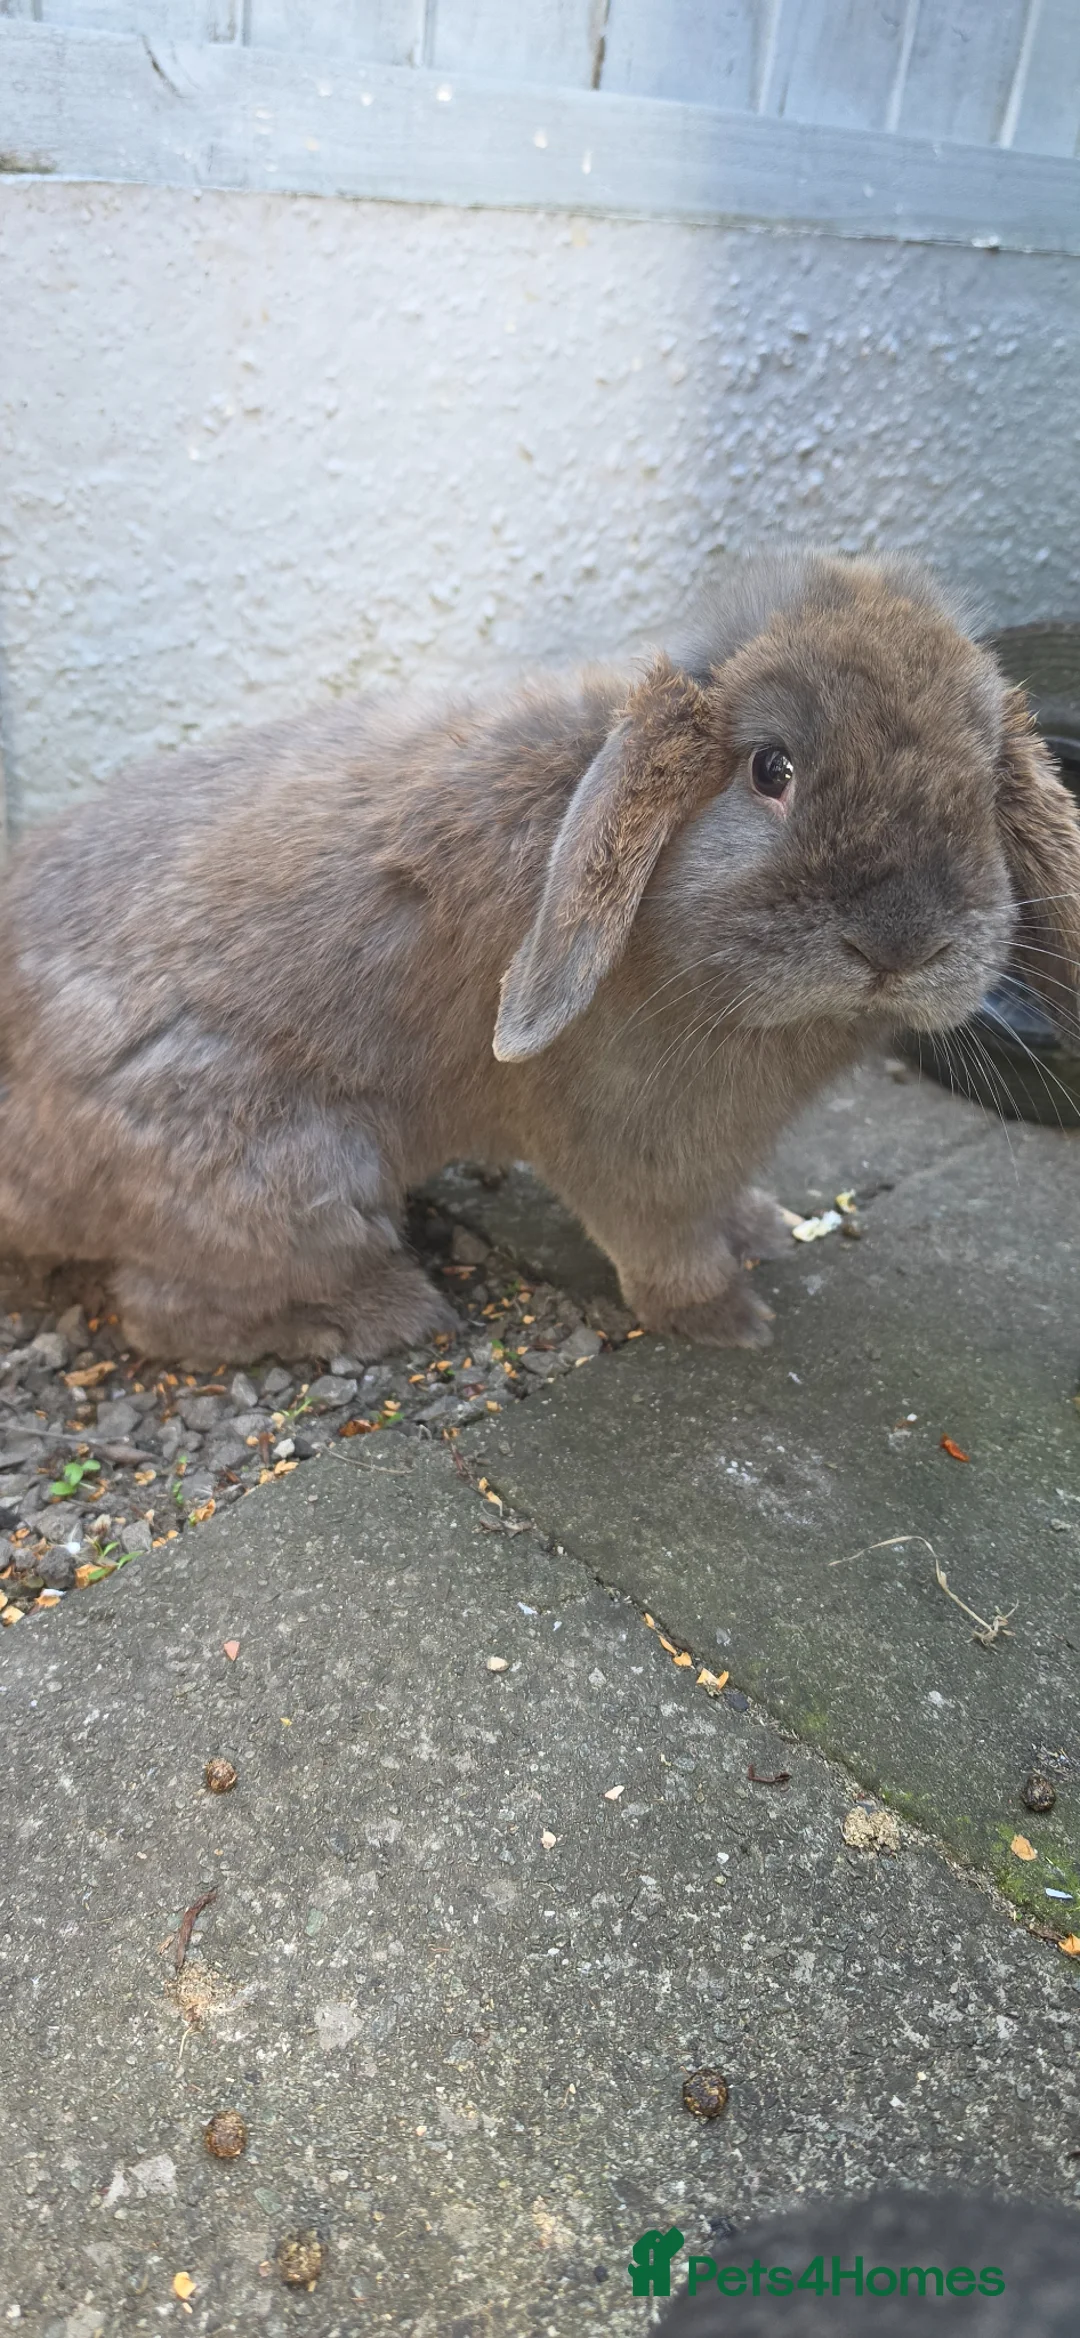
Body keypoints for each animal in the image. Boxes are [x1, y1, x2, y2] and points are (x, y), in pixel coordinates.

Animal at [1, 549, 1078, 1367]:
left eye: (984, 781)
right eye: (770, 769)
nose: (900, 943)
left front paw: (763, 1231)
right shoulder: (629, 1149)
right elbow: (661, 1242)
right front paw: (726, 1320)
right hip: (292, 1179)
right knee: (166, 1313)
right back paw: (382, 1315)